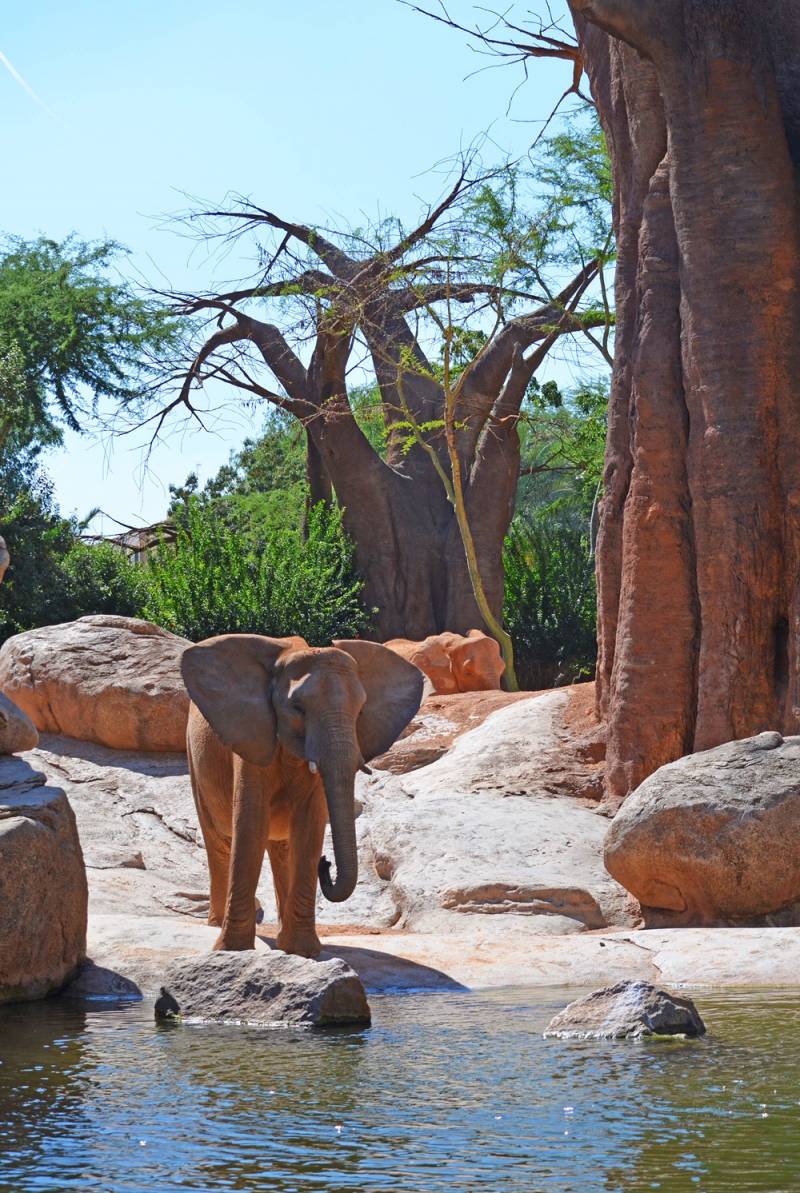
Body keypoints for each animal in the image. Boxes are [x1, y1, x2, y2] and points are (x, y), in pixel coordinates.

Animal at [181, 634, 424, 959]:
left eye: (361, 712)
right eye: (297, 708)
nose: (327, 864)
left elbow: (309, 827)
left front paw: (303, 952)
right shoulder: (253, 738)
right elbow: (250, 823)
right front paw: (233, 951)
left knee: (282, 847)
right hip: (194, 758)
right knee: (218, 839)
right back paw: (217, 923)